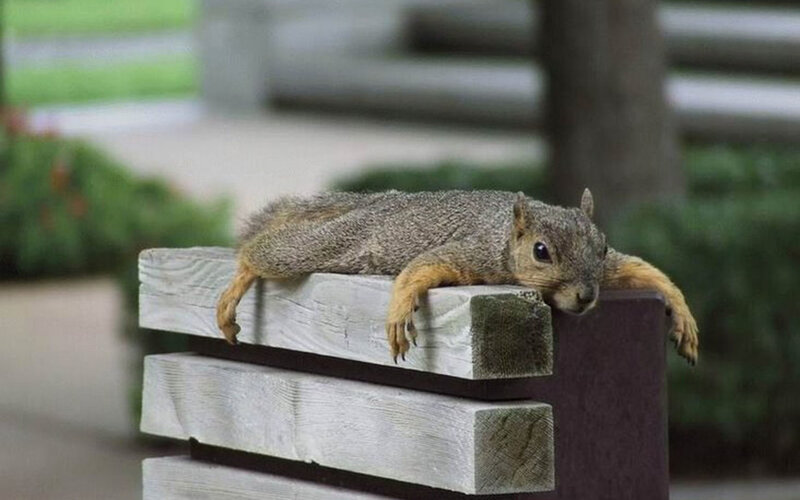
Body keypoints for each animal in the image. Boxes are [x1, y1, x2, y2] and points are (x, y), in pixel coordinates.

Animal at [217, 189, 699, 365]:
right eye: (541, 251)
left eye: (601, 246)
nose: (586, 295)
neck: (505, 237)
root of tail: (372, 204)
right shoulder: (472, 253)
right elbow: (419, 269)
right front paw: (399, 312)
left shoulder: (611, 267)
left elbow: (642, 269)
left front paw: (683, 314)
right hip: (325, 247)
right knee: (262, 252)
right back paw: (237, 282)